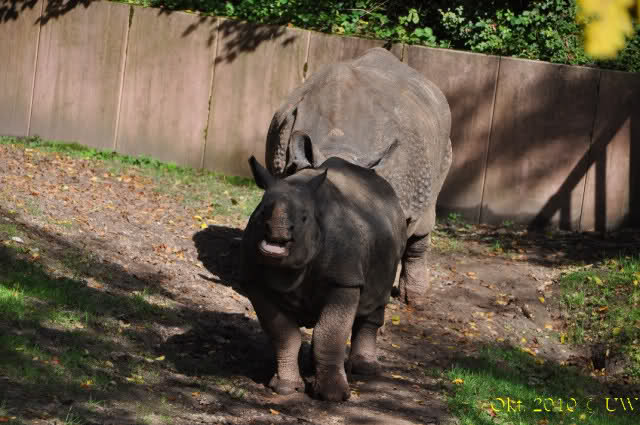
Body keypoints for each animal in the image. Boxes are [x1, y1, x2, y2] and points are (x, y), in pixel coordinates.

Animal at [241, 152, 406, 401]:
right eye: (261, 214)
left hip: (393, 239)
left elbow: (330, 334)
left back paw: (366, 370)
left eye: (304, 219)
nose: (278, 232)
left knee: (376, 301)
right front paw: (286, 388)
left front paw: (333, 396)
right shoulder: (257, 281)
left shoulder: (345, 280)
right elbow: (285, 336)